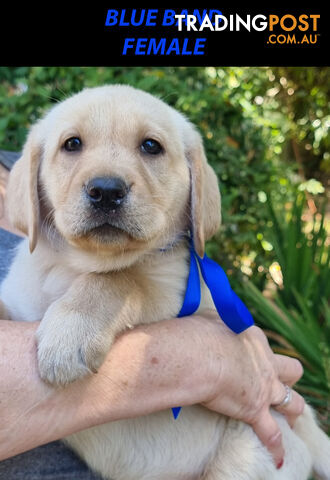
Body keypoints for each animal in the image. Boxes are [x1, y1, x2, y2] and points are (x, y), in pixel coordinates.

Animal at [0, 86, 330, 480]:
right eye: (72, 144)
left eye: (150, 146)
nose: (106, 191)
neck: (74, 265)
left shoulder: (197, 304)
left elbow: (121, 279)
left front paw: (70, 331)